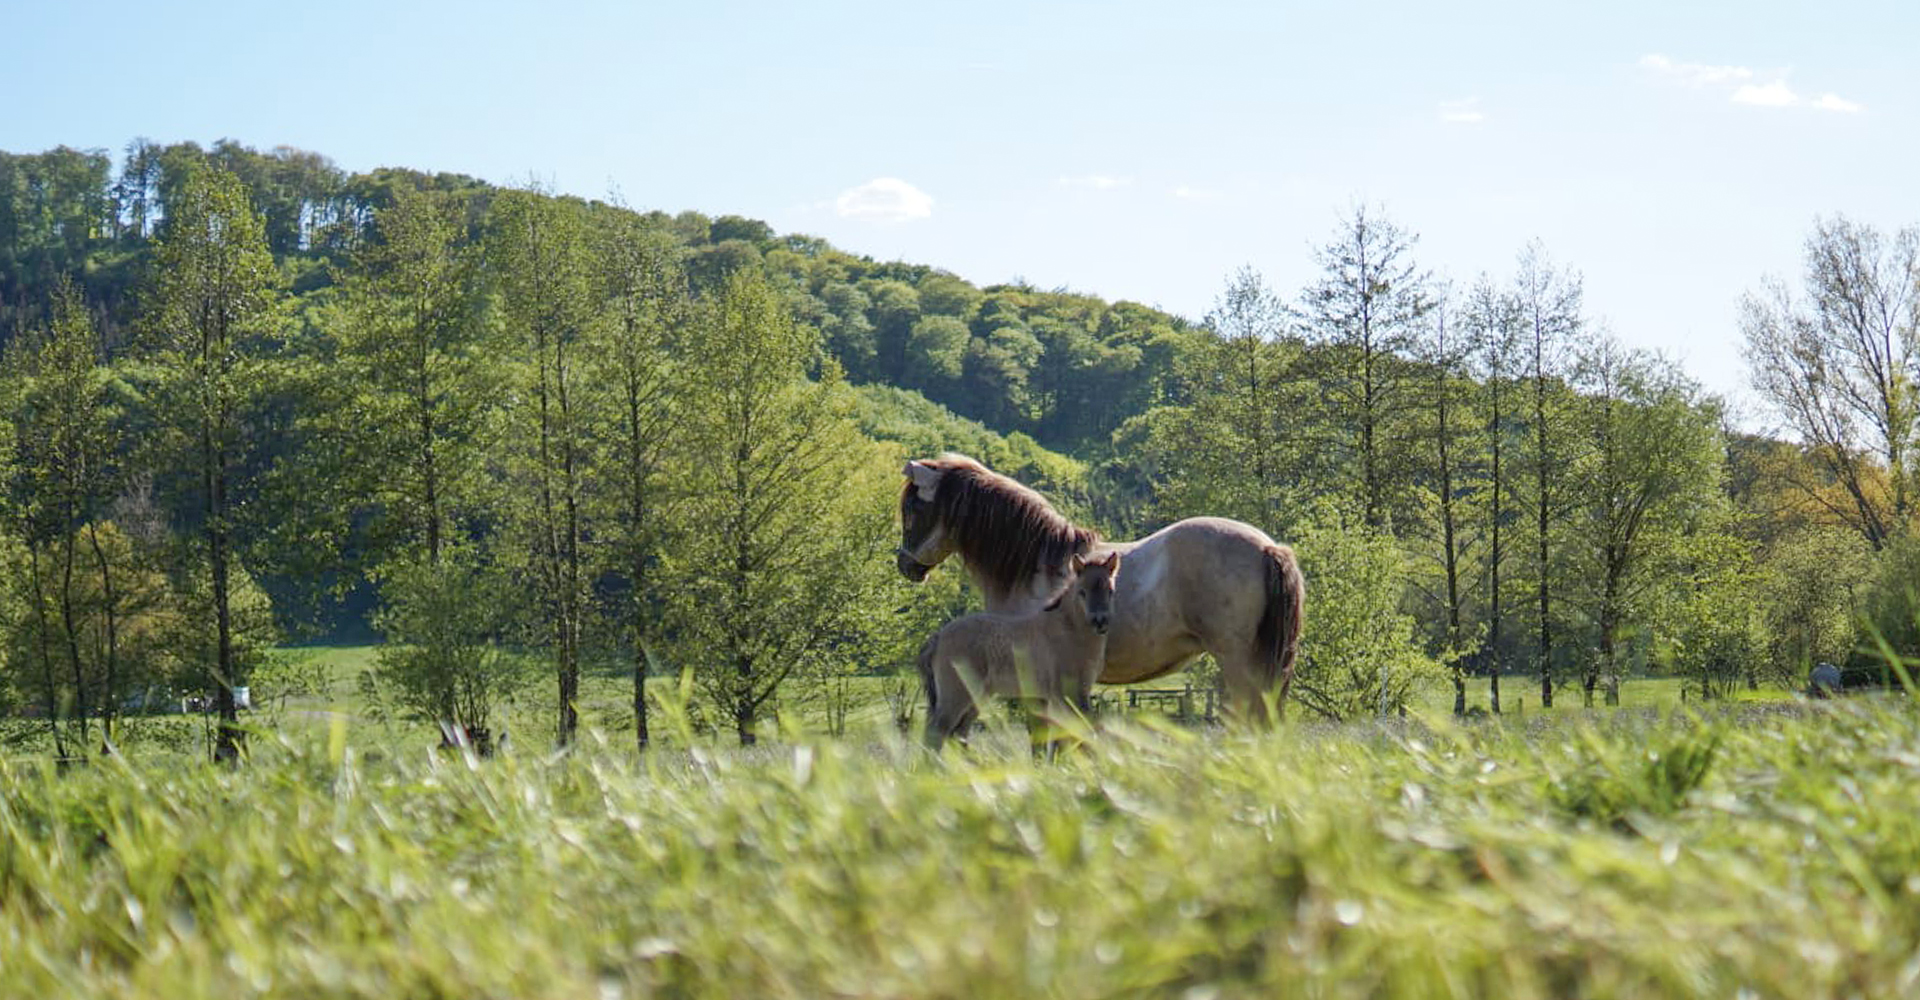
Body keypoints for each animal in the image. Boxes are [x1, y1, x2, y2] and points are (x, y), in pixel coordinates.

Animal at [917, 552, 1121, 749]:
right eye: (1082, 592)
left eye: (1110, 591)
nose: (1100, 621)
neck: (1068, 630)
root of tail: (938, 636)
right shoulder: (1068, 694)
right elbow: (1085, 733)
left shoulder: (1078, 692)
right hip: (956, 694)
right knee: (937, 732)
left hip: (977, 695)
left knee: (958, 734)